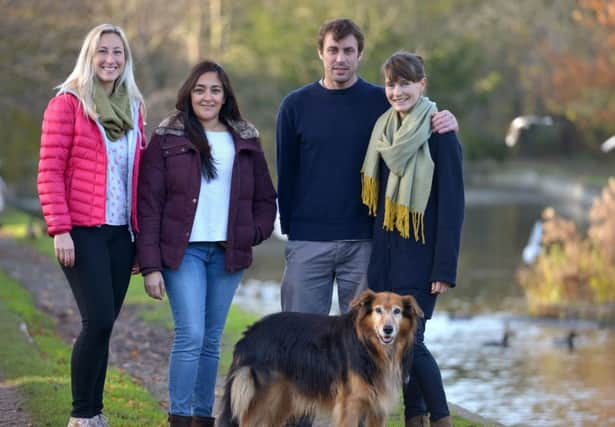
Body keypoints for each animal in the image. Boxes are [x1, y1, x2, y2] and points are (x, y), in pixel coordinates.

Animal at [217, 290, 424, 426]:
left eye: (397, 311)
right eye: (378, 310)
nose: (388, 330)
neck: (368, 346)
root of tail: (249, 333)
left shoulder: (377, 407)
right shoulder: (351, 403)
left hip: (281, 399)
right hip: (262, 397)